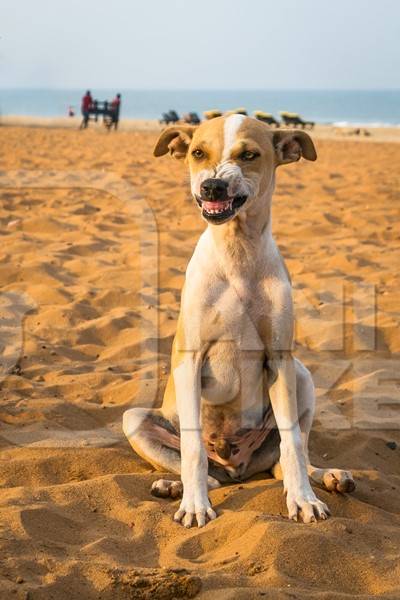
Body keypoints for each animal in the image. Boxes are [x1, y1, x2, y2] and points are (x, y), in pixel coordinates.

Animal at [123, 115, 354, 528]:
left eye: (249, 155)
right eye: (198, 153)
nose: (212, 185)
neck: (237, 253)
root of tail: (237, 469)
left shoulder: (279, 359)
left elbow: (292, 443)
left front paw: (303, 500)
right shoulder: (190, 360)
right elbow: (193, 449)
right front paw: (195, 506)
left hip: (301, 376)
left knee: (287, 457)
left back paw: (327, 476)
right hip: (134, 418)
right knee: (202, 467)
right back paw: (175, 487)